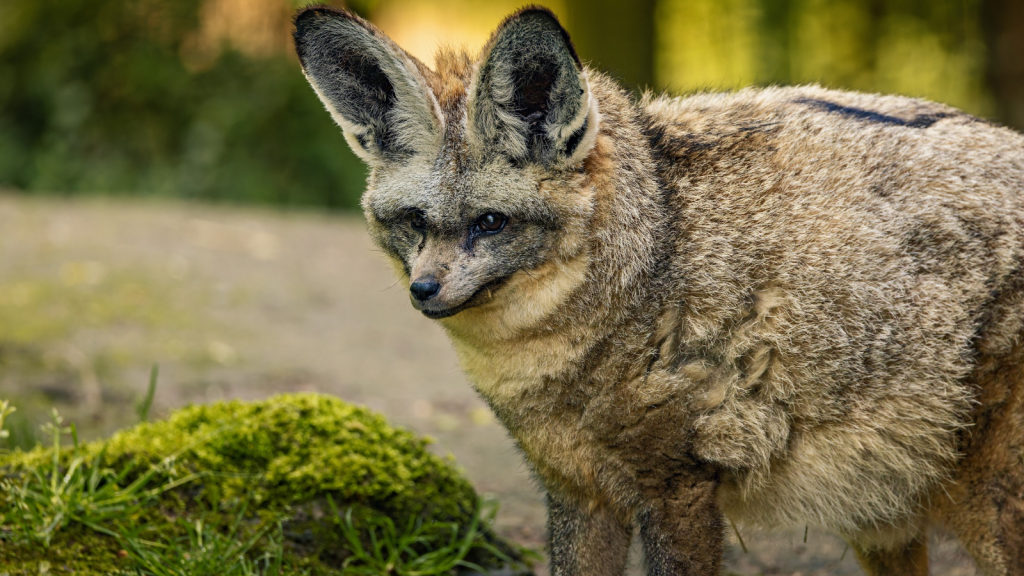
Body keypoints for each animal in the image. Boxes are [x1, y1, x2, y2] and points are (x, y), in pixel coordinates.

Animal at [290, 5, 1024, 573]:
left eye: (490, 223)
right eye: (415, 222)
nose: (425, 290)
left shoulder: (676, 489)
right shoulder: (577, 493)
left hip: (977, 510)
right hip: (885, 514)